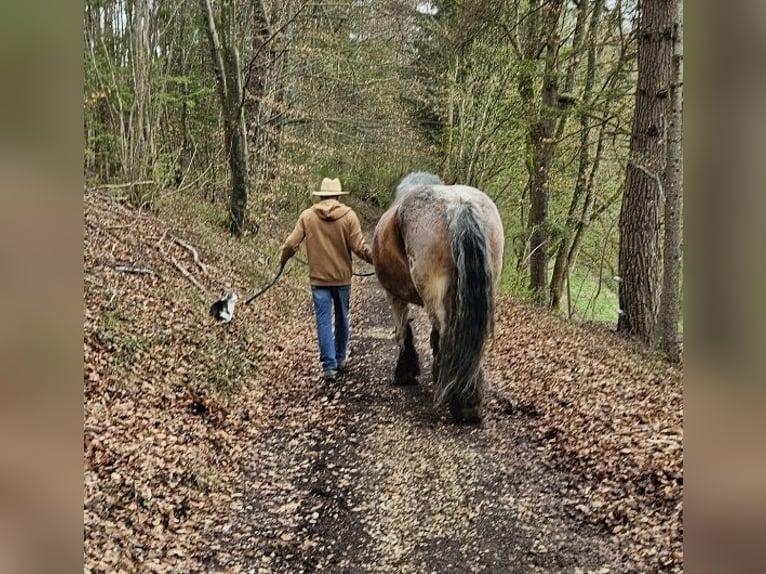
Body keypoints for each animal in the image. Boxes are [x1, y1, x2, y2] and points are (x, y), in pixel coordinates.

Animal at [372, 172, 504, 423]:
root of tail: (458, 204)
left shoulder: (394, 296)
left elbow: (403, 332)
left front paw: (404, 372)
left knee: (445, 334)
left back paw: (463, 402)